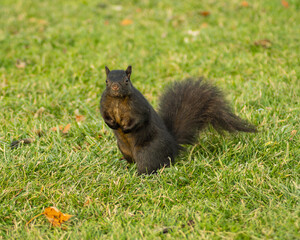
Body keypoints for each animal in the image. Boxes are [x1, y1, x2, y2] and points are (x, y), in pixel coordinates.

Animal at [100, 65, 255, 174]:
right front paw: (112, 124)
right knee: (131, 161)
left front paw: (126, 128)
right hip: (123, 149)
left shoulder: (140, 107)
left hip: (147, 153)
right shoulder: (104, 104)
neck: (117, 100)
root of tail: (173, 148)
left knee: (149, 167)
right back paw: (125, 165)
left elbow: (140, 119)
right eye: (106, 81)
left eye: (126, 81)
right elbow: (104, 115)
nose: (115, 86)